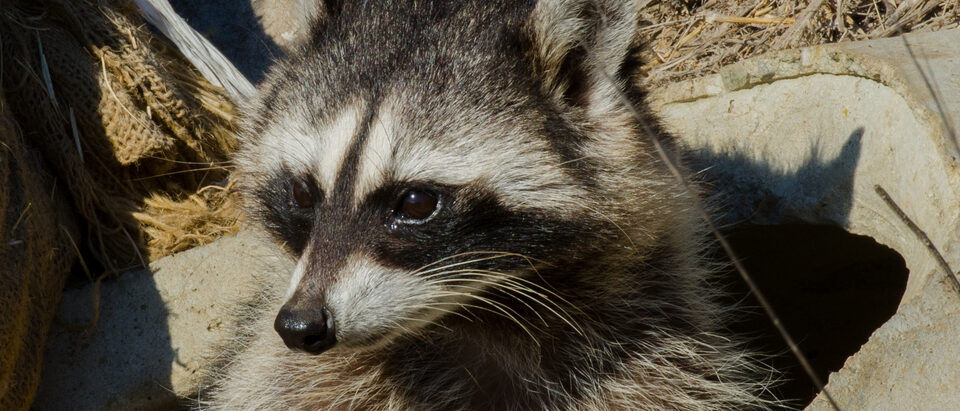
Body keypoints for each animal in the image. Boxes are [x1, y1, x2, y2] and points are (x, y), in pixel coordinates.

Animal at [206, 0, 774, 409]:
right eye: (303, 193)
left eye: (415, 202)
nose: (301, 325)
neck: (477, 316)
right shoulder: (285, 372)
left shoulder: (652, 345)